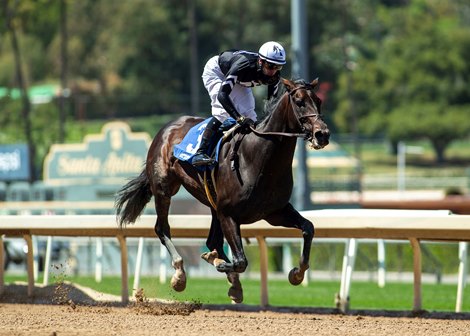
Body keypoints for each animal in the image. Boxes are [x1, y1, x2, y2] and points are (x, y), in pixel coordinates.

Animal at [116, 77, 330, 304]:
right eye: (299, 102)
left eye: (318, 100)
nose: (322, 134)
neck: (258, 158)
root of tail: (165, 129)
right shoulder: (228, 214)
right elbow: (240, 261)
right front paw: (217, 262)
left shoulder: (274, 212)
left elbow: (308, 227)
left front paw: (297, 273)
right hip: (164, 190)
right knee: (162, 228)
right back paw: (180, 274)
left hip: (212, 203)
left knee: (213, 240)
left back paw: (232, 282)